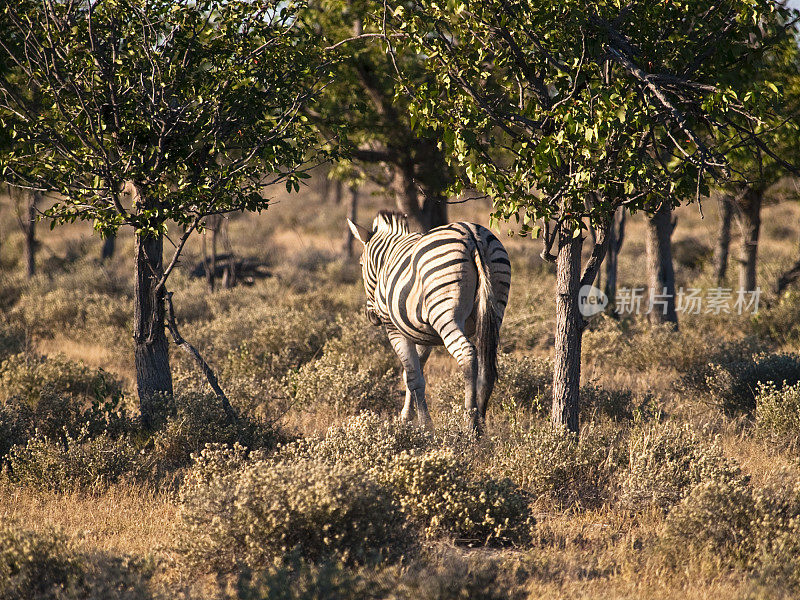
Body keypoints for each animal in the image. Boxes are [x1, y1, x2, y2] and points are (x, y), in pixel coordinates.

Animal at [346, 211, 510, 432]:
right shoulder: (423, 334)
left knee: (466, 353)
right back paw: (482, 423)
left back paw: (471, 425)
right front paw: (407, 417)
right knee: (487, 363)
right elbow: (413, 373)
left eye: (361, 264)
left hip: (444, 313)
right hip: (495, 306)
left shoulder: (394, 329)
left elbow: (413, 377)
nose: (372, 318)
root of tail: (472, 234)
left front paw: (424, 425)